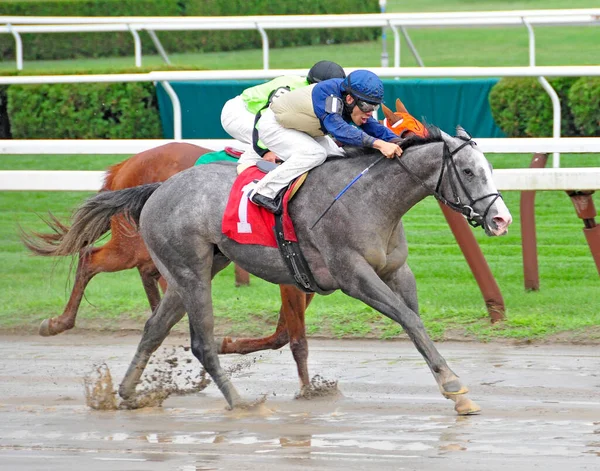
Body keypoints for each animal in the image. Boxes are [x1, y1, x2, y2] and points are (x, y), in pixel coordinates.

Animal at [54, 126, 510, 416]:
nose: (501, 220)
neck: (371, 200)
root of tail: (156, 188)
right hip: (190, 272)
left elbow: (416, 323)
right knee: (198, 341)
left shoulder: (396, 272)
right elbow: (407, 321)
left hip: (196, 269)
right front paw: (453, 386)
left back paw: (129, 393)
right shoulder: (352, 275)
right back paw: (240, 401)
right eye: (468, 171)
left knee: (154, 328)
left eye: (489, 169)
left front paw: (455, 391)